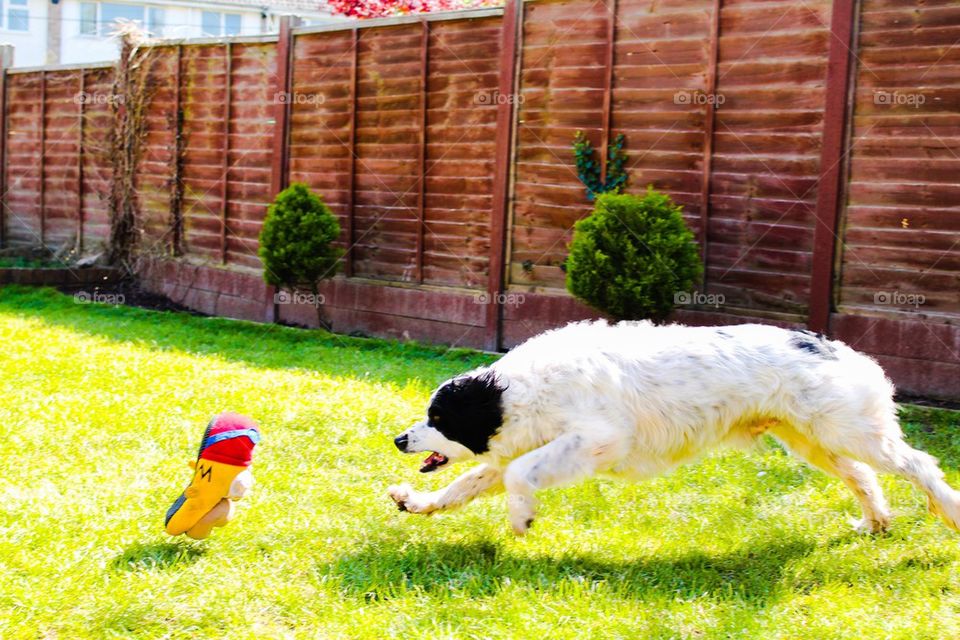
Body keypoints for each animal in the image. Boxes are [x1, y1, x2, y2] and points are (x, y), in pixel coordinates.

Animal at [384, 320, 960, 536]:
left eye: (440, 418)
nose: (399, 439)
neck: (518, 390)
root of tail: (831, 345)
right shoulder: (519, 449)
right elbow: (466, 484)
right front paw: (417, 502)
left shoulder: (598, 439)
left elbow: (519, 475)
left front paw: (522, 519)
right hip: (813, 441)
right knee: (863, 477)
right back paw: (877, 521)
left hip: (849, 433)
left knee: (918, 465)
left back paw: (948, 511)